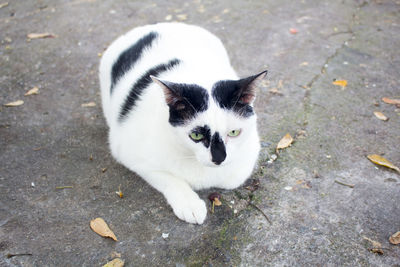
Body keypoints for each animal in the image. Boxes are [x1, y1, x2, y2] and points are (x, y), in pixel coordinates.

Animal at [99, 22, 268, 224]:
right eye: (196, 135)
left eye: (234, 132)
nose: (219, 158)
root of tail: (158, 25)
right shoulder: (127, 152)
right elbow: (169, 178)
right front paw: (189, 204)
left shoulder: (251, 150)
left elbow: (233, 177)